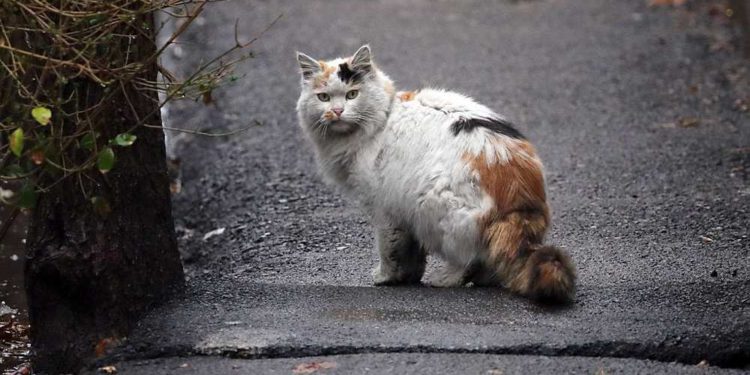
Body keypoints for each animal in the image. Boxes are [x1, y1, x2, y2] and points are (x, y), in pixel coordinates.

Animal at [294, 45, 576, 304]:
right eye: (323, 97)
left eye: (352, 94)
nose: (337, 111)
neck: (381, 120)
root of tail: (522, 197)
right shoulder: (401, 213)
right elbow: (411, 253)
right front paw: (408, 277)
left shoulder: (385, 210)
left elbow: (388, 249)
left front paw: (386, 277)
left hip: (435, 206)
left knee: (470, 259)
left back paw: (445, 279)